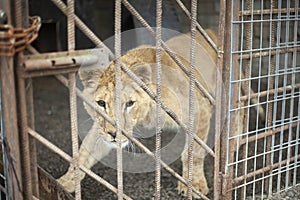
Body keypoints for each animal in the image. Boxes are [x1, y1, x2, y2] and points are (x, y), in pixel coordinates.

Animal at [58, 30, 218, 196]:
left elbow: (194, 153)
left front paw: (195, 185)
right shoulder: (101, 127)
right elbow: (84, 153)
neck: (147, 113)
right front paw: (65, 182)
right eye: (101, 103)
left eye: (129, 103)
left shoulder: (200, 109)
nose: (114, 134)